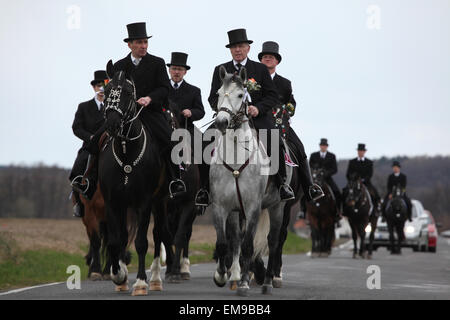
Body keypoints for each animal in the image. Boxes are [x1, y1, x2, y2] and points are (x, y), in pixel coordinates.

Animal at [100, 66, 172, 296]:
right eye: (106, 90)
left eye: (127, 93)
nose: (112, 124)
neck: (126, 153)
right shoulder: (113, 202)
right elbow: (116, 240)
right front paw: (119, 276)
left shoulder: (144, 202)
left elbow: (141, 242)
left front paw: (140, 283)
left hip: (160, 201)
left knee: (158, 235)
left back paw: (155, 279)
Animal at [211, 67, 292, 296]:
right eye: (218, 94)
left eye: (241, 95)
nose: (221, 122)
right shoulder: (221, 206)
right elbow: (224, 243)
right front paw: (221, 276)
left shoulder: (253, 207)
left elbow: (249, 246)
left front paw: (245, 284)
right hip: (236, 212)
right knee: (236, 239)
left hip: (277, 207)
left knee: (273, 241)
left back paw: (267, 282)